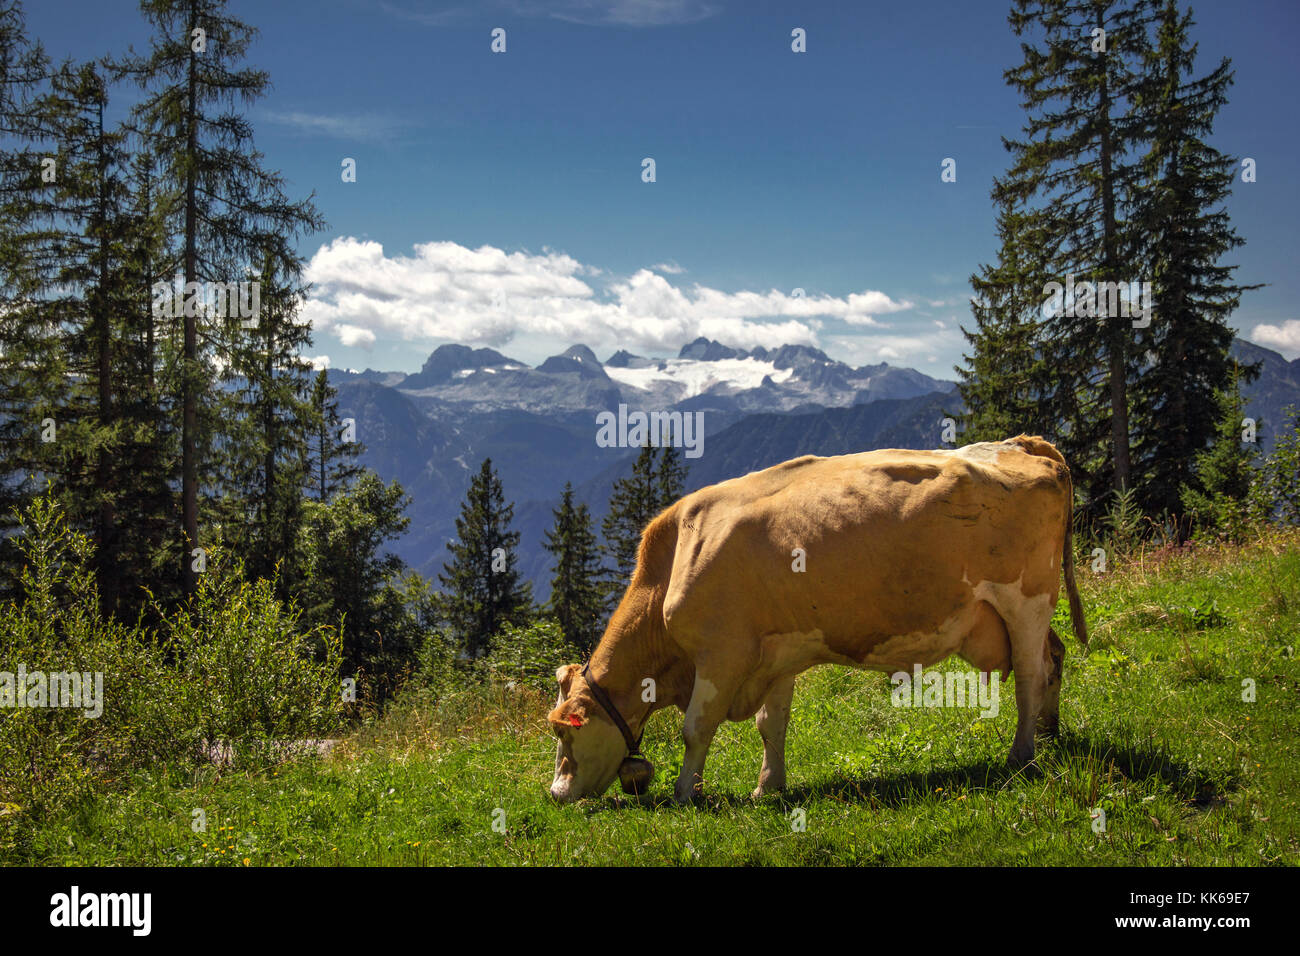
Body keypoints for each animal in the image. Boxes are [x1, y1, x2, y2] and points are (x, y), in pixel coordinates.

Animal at [548, 435, 1087, 804]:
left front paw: (687, 792)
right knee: (1054, 658)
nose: (555, 793)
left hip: (1026, 600)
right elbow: (771, 725)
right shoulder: (777, 654)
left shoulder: (721, 655)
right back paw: (1049, 733)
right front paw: (768, 787)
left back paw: (1021, 754)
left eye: (564, 733)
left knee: (1032, 675)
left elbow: (695, 728)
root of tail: (1019, 444)